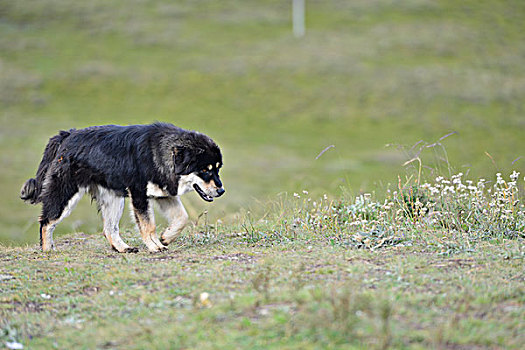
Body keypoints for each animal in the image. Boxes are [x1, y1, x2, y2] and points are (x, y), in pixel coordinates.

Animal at [19, 122, 224, 252]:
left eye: (217, 168)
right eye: (205, 170)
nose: (221, 191)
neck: (159, 154)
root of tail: (67, 135)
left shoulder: (164, 194)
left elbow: (182, 218)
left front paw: (166, 237)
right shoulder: (140, 195)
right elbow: (148, 225)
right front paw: (155, 246)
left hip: (113, 200)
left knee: (109, 229)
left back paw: (123, 248)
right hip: (65, 194)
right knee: (46, 221)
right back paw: (47, 250)